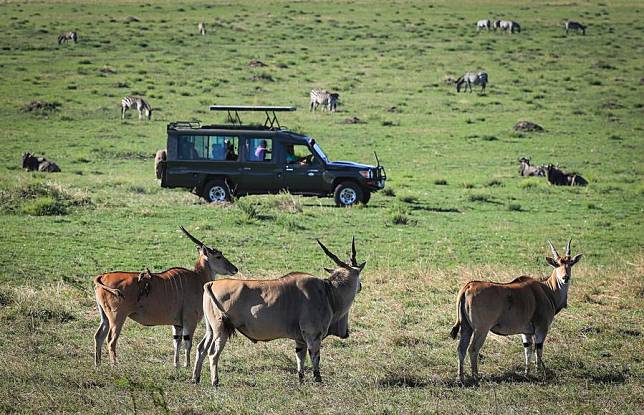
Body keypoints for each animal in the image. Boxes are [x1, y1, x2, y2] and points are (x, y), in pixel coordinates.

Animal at [92, 229, 238, 368]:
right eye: (218, 256)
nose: (235, 269)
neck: (197, 278)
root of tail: (102, 277)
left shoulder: (177, 323)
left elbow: (176, 342)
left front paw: (176, 364)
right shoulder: (189, 320)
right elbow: (188, 342)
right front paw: (187, 365)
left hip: (105, 317)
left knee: (99, 336)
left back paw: (98, 364)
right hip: (117, 318)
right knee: (111, 340)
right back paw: (114, 365)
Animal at [191, 239, 364, 388]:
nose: (360, 286)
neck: (328, 291)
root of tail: (211, 283)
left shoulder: (300, 339)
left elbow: (300, 359)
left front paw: (301, 380)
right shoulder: (313, 335)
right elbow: (315, 358)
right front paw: (318, 380)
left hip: (211, 329)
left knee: (201, 348)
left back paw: (195, 379)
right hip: (221, 329)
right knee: (213, 354)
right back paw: (215, 382)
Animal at [448, 240, 584, 384]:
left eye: (570, 263)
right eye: (557, 264)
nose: (565, 277)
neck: (547, 290)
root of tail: (468, 286)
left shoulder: (526, 332)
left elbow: (528, 350)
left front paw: (527, 373)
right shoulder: (541, 328)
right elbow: (538, 350)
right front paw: (539, 373)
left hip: (466, 328)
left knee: (461, 349)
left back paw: (461, 378)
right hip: (481, 329)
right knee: (473, 349)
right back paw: (475, 377)